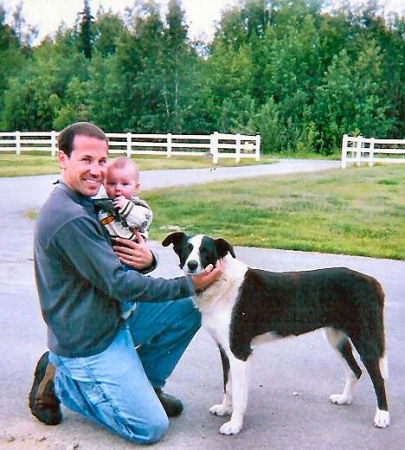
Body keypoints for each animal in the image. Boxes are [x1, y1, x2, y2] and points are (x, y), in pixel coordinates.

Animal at [162, 234, 388, 434]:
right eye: (186, 249)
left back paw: (382, 416)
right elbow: (228, 386)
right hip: (336, 338)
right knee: (355, 371)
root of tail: (373, 282)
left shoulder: (239, 352)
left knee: (378, 378)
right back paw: (344, 399)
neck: (221, 283)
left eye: (206, 252)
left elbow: (239, 394)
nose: (192, 265)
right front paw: (225, 409)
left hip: (365, 338)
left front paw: (234, 425)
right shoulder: (225, 350)